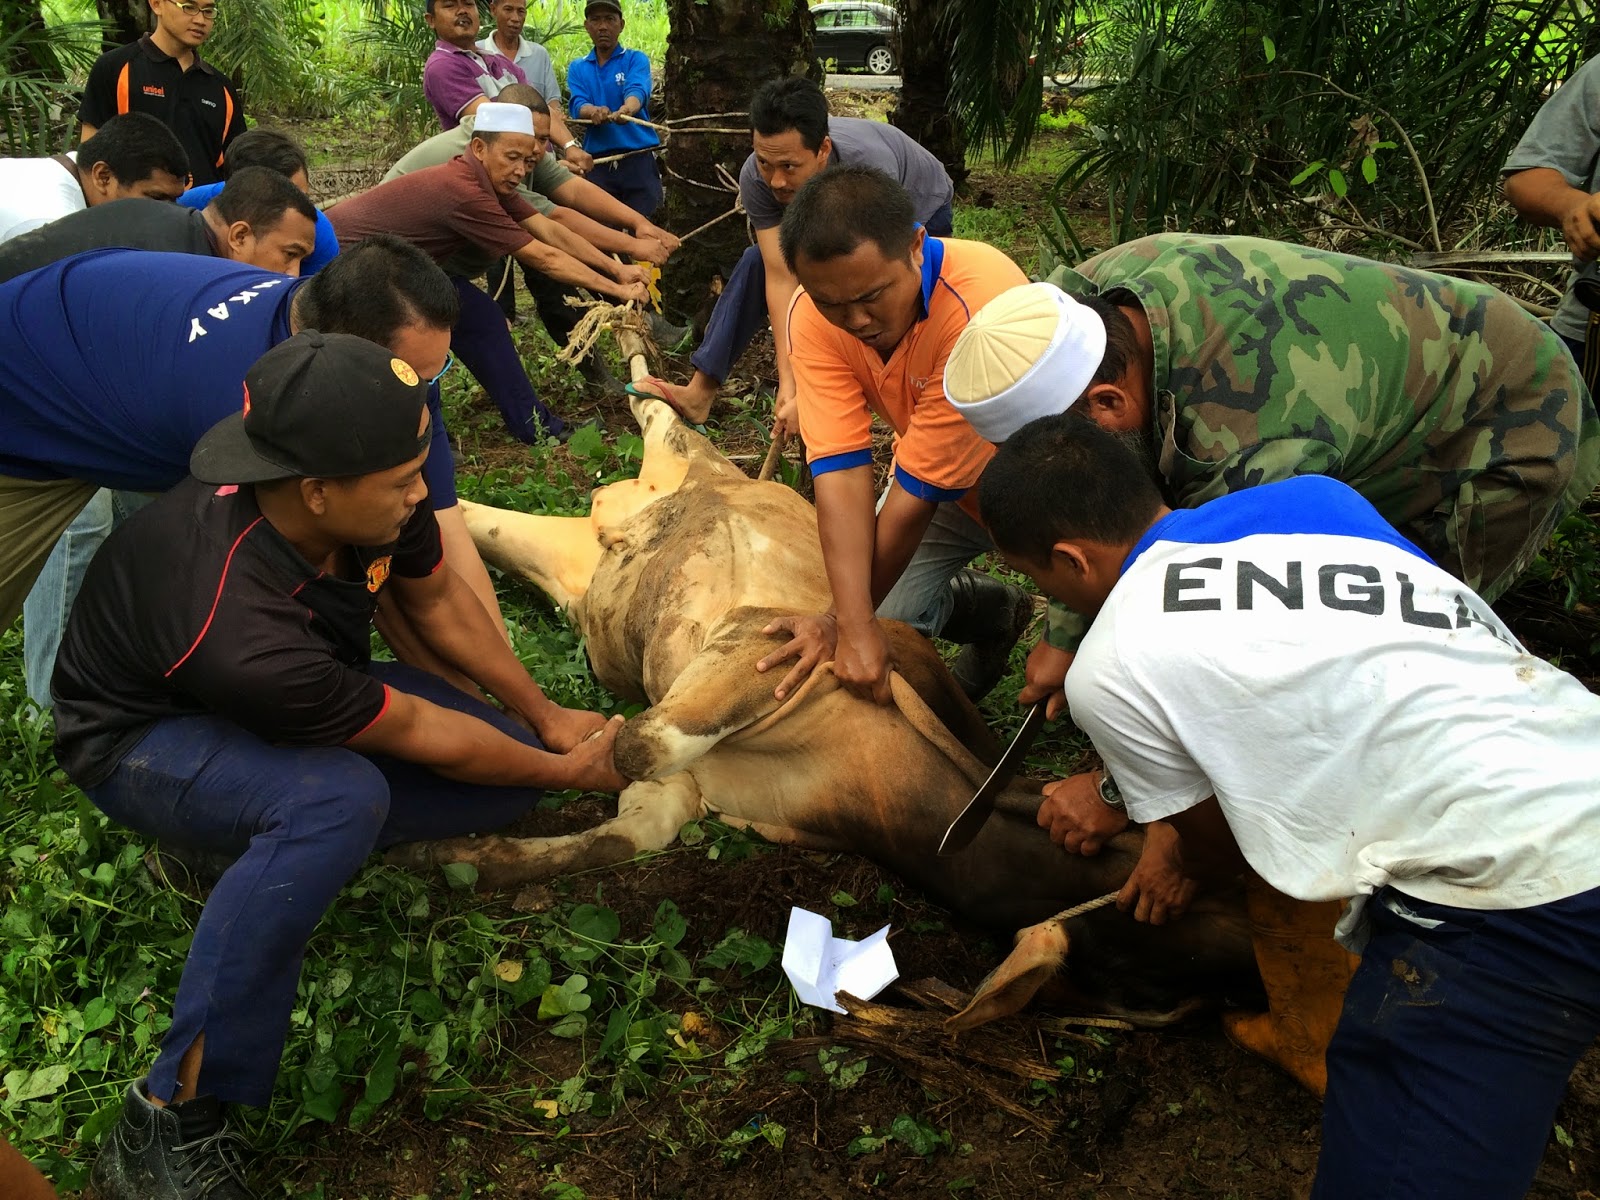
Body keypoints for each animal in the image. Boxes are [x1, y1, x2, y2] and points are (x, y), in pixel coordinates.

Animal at [390, 396, 1260, 1036]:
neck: (879, 789)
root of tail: (626, 509)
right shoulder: (764, 641)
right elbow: (643, 740)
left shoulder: (700, 790)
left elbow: (635, 804)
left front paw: (451, 855)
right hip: (687, 460)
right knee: (658, 413)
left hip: (578, 581)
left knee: (489, 519)